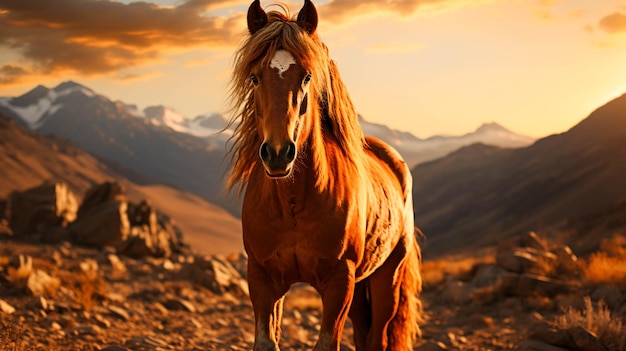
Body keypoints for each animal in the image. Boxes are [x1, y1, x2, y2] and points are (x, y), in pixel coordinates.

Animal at [227, 1, 422, 350]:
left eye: (307, 76)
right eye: (254, 77)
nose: (278, 153)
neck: (293, 204)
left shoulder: (338, 282)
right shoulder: (262, 278)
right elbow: (266, 340)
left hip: (386, 277)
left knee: (378, 335)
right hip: (360, 287)